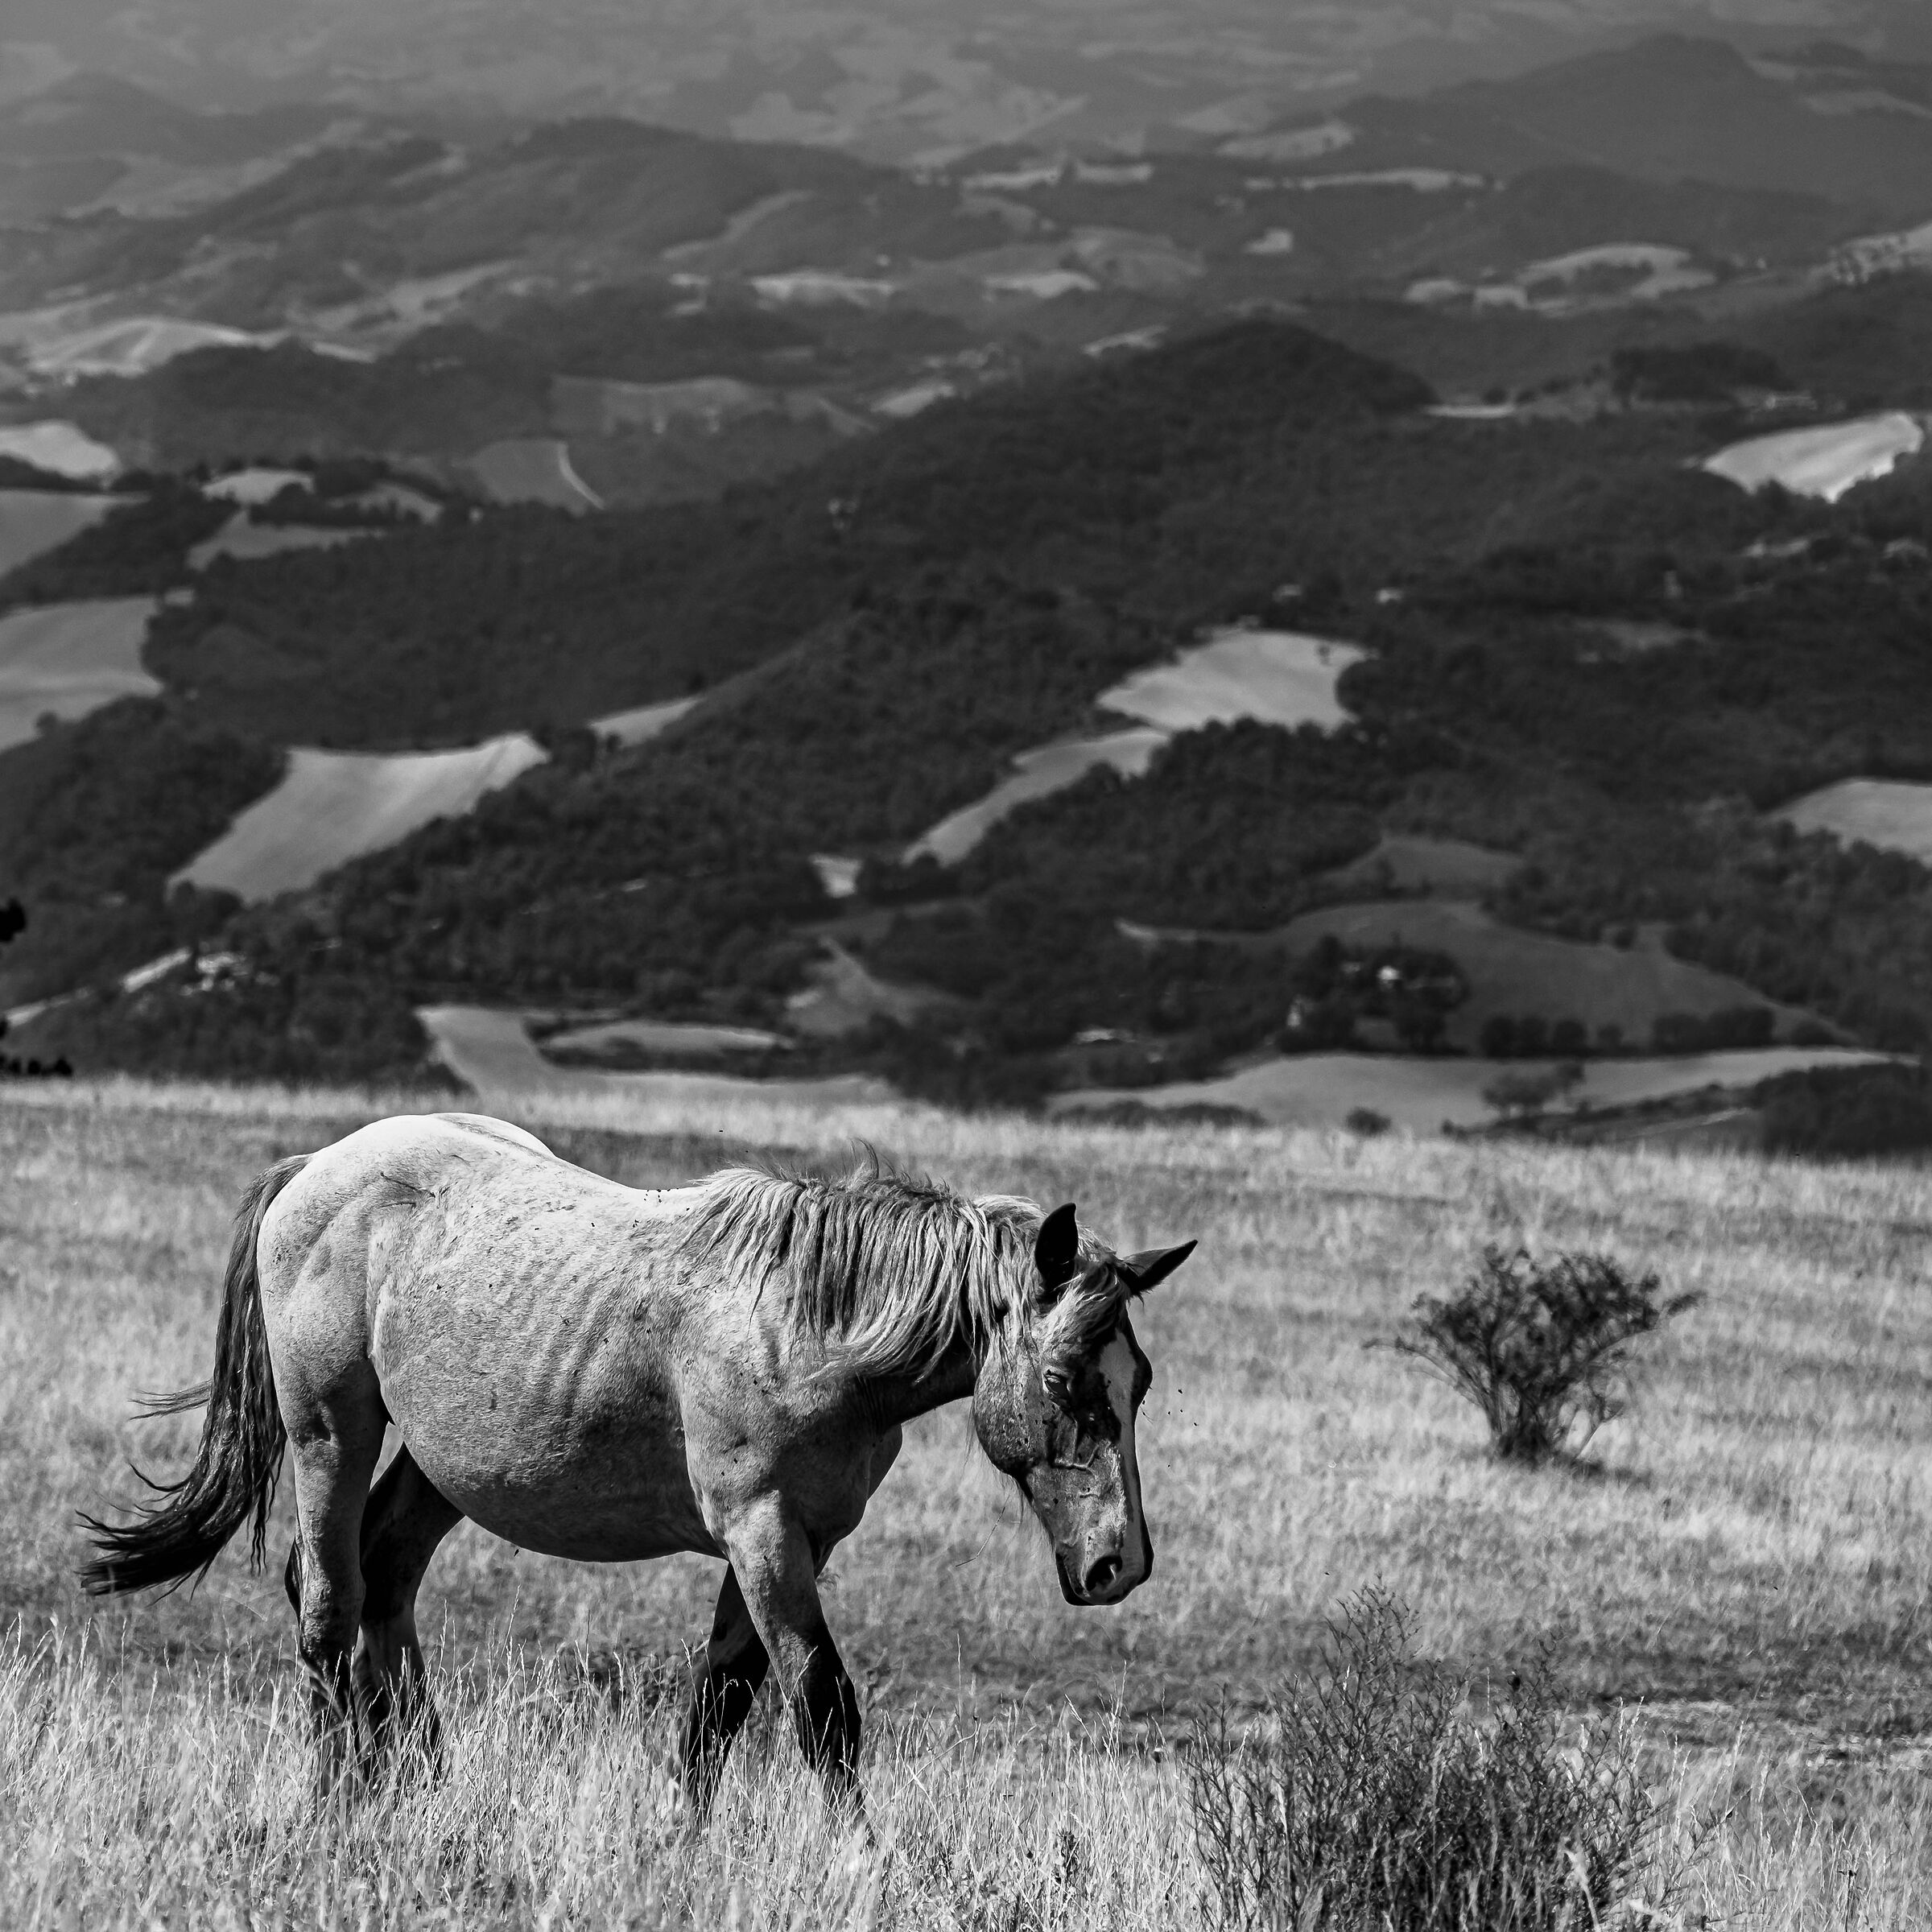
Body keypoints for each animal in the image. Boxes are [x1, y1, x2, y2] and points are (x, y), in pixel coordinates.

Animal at [80, 1112, 1195, 1810]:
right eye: (1063, 1383)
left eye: (1138, 1383)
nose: (1120, 1565)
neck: (811, 1325)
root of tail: (314, 1167)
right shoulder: (761, 1534)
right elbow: (823, 1711)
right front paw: (864, 1868)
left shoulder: (795, 1543)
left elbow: (717, 1713)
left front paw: (679, 1851)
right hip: (330, 1435)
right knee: (326, 1604)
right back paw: (331, 1803)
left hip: (441, 1468)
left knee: (384, 1585)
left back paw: (418, 1793)